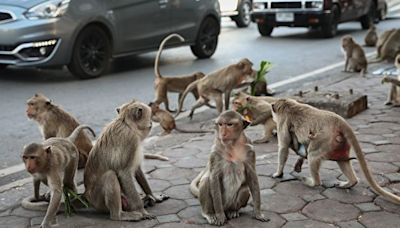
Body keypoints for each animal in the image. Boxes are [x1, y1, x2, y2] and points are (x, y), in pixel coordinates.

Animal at [268, 99, 400, 204]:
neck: (287, 104)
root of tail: (339, 121)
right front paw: (298, 161)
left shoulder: (282, 122)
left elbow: (284, 147)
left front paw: (278, 173)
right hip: (340, 142)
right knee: (342, 160)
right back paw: (351, 182)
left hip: (325, 139)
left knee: (313, 156)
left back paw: (313, 182)